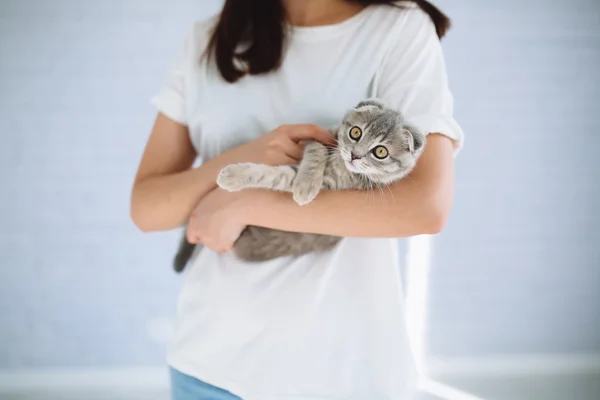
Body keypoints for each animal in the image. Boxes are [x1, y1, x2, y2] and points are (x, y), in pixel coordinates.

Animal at [173, 98, 426, 272]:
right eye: (356, 132)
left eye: (380, 152)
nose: (355, 155)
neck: (341, 165)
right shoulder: (317, 138)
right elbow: (315, 150)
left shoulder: (330, 185)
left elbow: (276, 177)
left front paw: (303, 187)